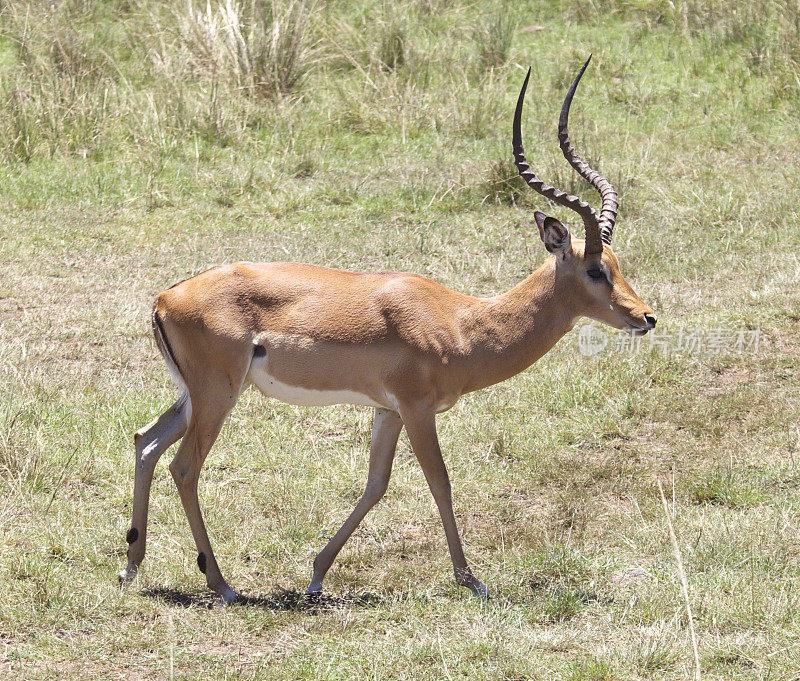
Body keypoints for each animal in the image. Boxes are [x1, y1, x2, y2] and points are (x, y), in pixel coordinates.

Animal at [119, 55, 656, 604]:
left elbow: (375, 484)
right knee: (184, 466)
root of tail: (166, 298)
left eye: (616, 261)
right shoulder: (416, 408)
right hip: (217, 395)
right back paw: (221, 583)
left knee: (145, 441)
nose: (646, 318)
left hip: (196, 395)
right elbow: (439, 480)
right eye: (594, 269)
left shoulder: (387, 410)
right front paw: (471, 579)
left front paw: (316, 575)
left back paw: (131, 567)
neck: (460, 322)